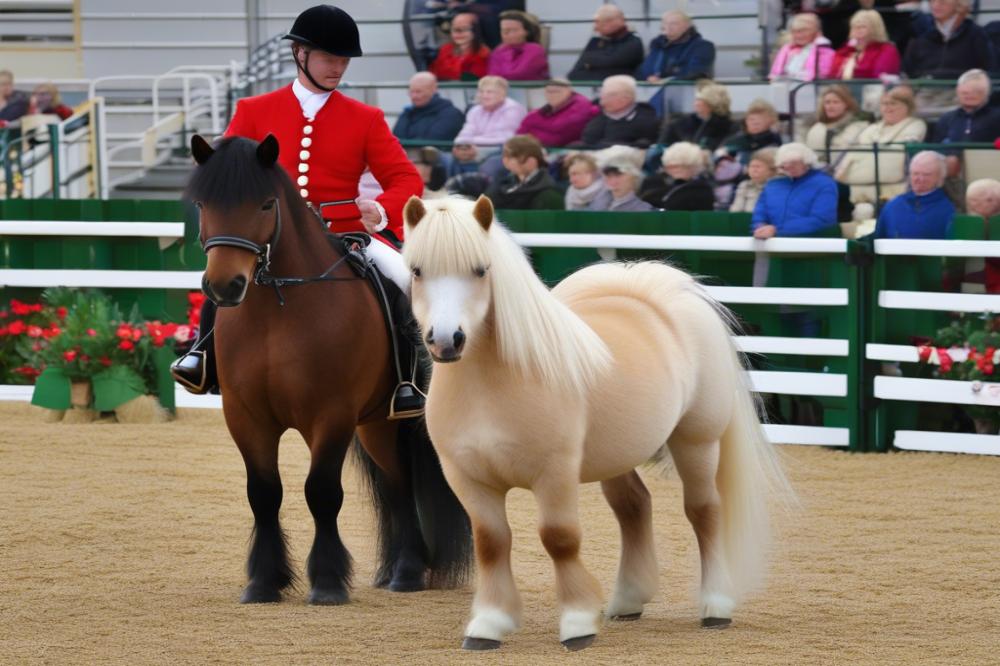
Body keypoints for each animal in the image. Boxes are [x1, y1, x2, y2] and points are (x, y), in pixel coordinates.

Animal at [185, 136, 472, 608]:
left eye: (266, 204)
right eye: (202, 203)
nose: (225, 286)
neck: (278, 311)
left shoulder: (330, 414)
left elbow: (321, 492)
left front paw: (327, 582)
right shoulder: (245, 416)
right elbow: (263, 494)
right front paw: (264, 582)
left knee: (402, 484)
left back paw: (409, 572)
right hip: (374, 424)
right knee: (393, 485)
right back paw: (398, 569)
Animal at [398, 195, 788, 652]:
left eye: (481, 269)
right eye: (417, 270)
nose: (446, 340)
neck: (489, 389)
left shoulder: (555, 474)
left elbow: (559, 538)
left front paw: (578, 624)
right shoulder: (468, 478)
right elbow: (492, 543)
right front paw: (489, 625)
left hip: (697, 442)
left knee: (703, 511)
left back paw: (715, 606)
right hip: (616, 456)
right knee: (634, 506)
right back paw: (628, 601)